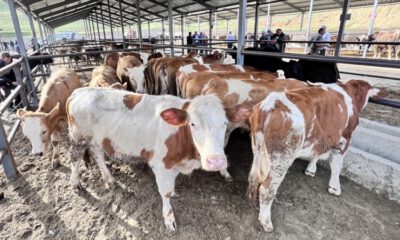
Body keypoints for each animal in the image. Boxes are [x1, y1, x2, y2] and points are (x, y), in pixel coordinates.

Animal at [66, 87, 250, 229]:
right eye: (193, 124)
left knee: (98, 154)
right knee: (75, 158)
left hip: (96, 139)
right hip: (78, 137)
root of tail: (80, 90)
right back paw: (75, 183)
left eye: (225, 123)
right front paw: (169, 219)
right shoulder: (161, 165)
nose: (217, 161)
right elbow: (165, 192)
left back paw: (109, 179)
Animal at [247, 79, 388, 232]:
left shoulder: (322, 138)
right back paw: (266, 222)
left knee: (253, 176)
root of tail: (270, 104)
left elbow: (317, 153)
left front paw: (311, 170)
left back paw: (251, 200)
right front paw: (335, 187)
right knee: (267, 188)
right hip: (283, 155)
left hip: (258, 148)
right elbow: (336, 165)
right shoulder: (345, 138)